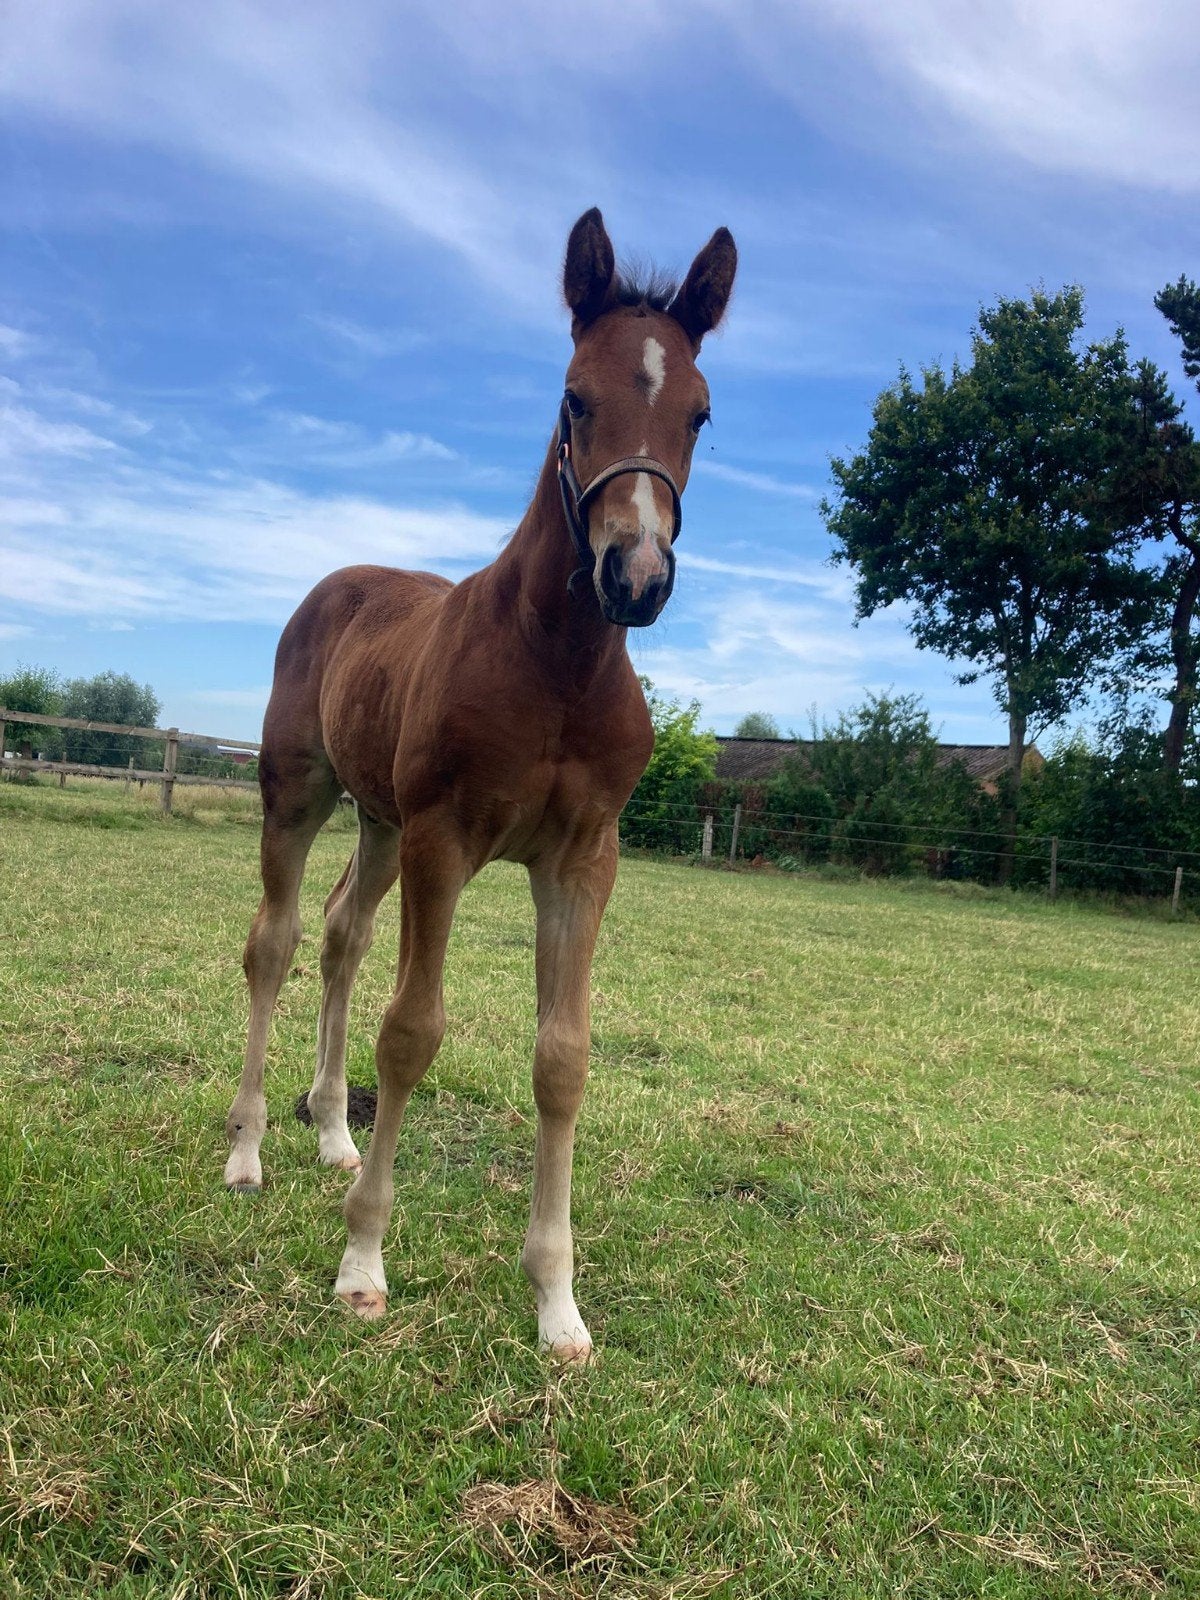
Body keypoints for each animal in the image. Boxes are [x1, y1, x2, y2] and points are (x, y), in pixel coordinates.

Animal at [223, 208, 737, 1362]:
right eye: (574, 396)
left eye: (700, 411)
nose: (636, 576)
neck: (556, 664)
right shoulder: (445, 840)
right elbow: (413, 1033)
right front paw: (362, 1262)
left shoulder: (582, 857)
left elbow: (564, 1058)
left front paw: (557, 1302)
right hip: (304, 796)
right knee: (276, 941)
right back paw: (248, 1150)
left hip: (378, 823)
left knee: (341, 935)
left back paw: (332, 1130)